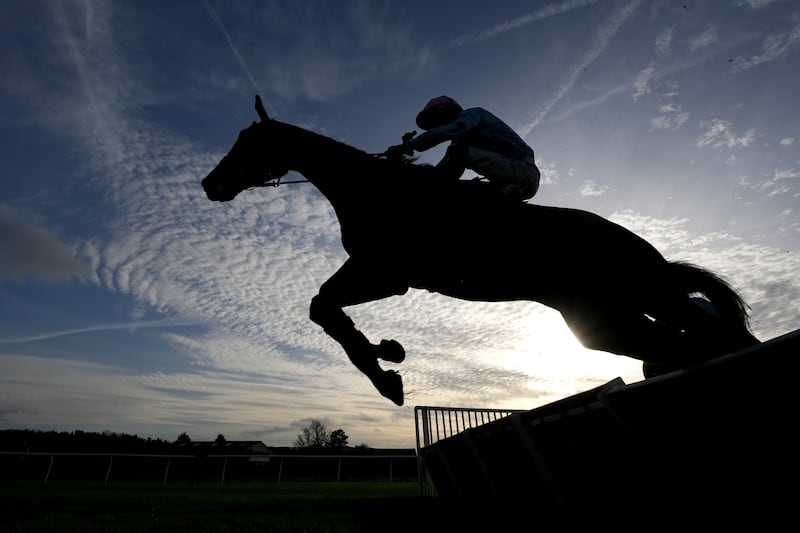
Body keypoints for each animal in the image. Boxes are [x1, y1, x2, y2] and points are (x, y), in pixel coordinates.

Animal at [203, 94, 760, 404]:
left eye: (247, 143)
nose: (210, 184)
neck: (377, 191)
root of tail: (645, 249)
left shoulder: (388, 275)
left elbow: (324, 307)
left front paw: (385, 370)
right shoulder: (378, 272)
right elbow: (324, 307)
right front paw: (387, 357)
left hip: (634, 302)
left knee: (701, 335)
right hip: (604, 319)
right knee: (686, 339)